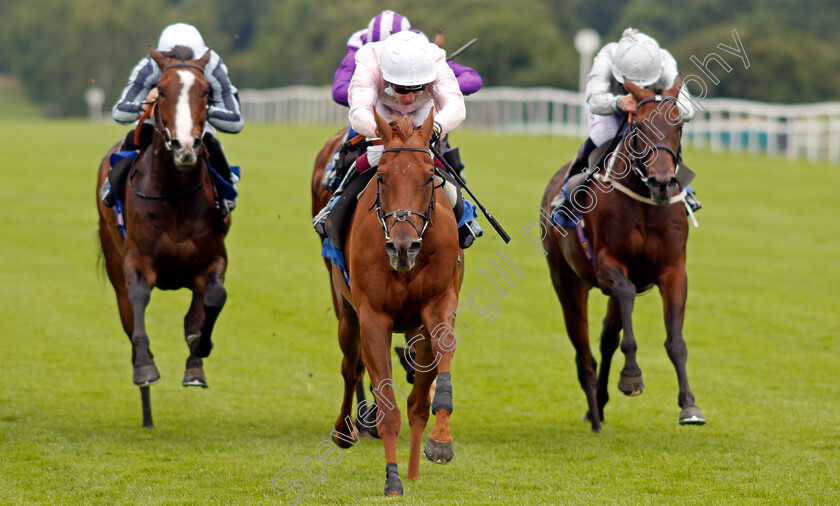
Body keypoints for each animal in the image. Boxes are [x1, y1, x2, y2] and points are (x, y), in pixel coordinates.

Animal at [96, 48, 228, 426]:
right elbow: (138, 300)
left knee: (195, 312)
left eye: (206, 93)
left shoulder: (213, 259)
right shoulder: (136, 259)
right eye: (163, 92)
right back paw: (146, 406)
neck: (175, 196)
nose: (184, 146)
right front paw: (145, 368)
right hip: (113, 261)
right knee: (128, 317)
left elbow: (213, 299)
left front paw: (198, 354)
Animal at [324, 112, 466, 496]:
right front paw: (392, 479)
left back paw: (415, 469)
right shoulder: (374, 317)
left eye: (429, 177)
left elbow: (441, 359)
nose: (404, 247)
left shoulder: (438, 303)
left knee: (417, 403)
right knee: (351, 367)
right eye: (383, 176)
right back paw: (344, 431)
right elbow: (386, 405)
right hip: (347, 315)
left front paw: (441, 440)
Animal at [540, 77, 704, 432]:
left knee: (605, 339)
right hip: (567, 282)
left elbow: (675, 340)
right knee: (584, 353)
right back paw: (594, 414)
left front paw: (689, 405)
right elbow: (626, 299)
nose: (661, 182)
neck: (645, 203)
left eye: (679, 125)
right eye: (639, 126)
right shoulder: (608, 265)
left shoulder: (674, 270)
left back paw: (599, 405)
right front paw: (631, 377)